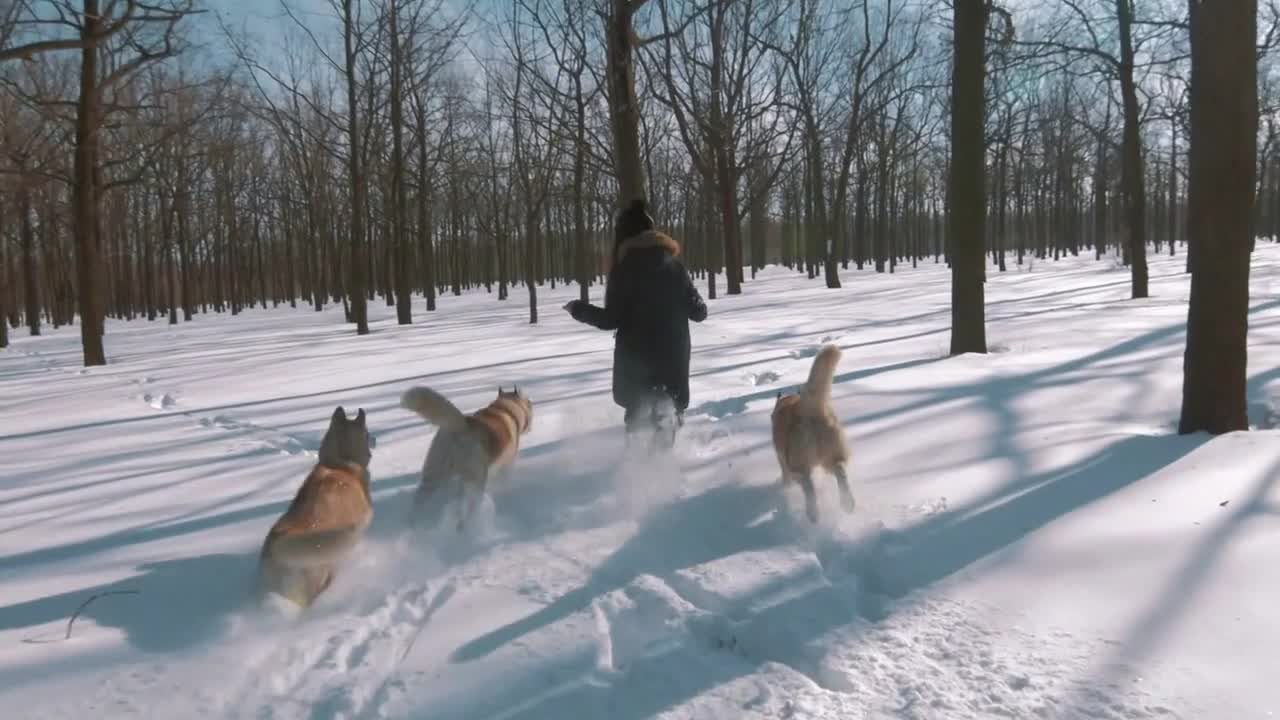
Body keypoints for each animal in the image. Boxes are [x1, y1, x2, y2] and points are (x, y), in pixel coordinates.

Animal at [404, 384, 535, 530]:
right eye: (529, 403)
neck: (505, 408)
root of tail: (461, 426)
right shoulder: (506, 466)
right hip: (477, 480)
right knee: (472, 506)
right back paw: (467, 525)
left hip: (433, 475)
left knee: (419, 501)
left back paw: (411, 525)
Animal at [768, 343, 849, 520]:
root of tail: (808, 408)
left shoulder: (782, 459)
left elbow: (786, 477)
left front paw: (785, 487)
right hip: (830, 454)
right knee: (840, 471)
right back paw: (848, 503)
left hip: (797, 462)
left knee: (807, 484)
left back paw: (813, 513)